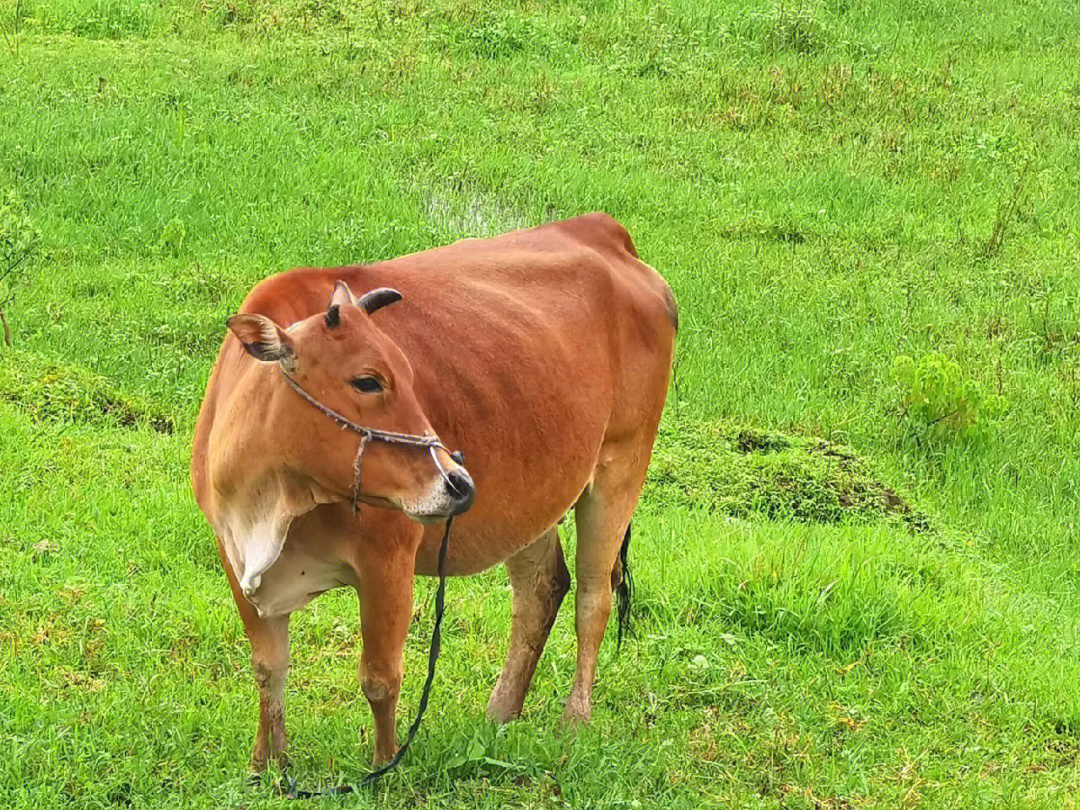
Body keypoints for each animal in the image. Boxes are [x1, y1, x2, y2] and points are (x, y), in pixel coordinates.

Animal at [187, 212, 673, 768]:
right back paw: (499, 714)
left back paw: (574, 722)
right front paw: (267, 765)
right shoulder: (234, 555)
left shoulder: (388, 561)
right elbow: (269, 669)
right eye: (368, 381)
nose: (457, 482)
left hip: (620, 468)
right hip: (534, 500)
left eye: (410, 373)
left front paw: (384, 765)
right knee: (541, 590)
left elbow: (380, 679)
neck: (271, 506)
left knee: (594, 598)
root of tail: (606, 233)